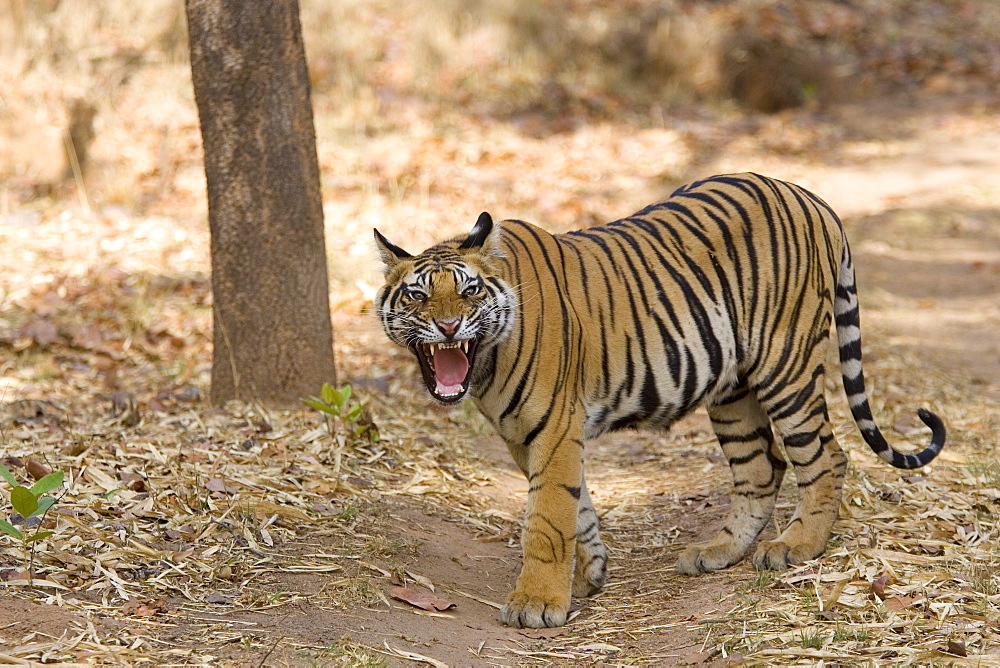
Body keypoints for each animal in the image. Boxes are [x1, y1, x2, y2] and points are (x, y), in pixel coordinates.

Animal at [374, 171, 944, 628]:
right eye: (417, 295)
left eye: (469, 291)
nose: (449, 327)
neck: (486, 363)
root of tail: (808, 194)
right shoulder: (526, 436)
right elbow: (576, 506)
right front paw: (589, 574)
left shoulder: (554, 428)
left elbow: (548, 518)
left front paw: (536, 603)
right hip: (732, 390)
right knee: (762, 467)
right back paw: (718, 551)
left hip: (786, 365)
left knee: (826, 456)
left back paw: (795, 547)